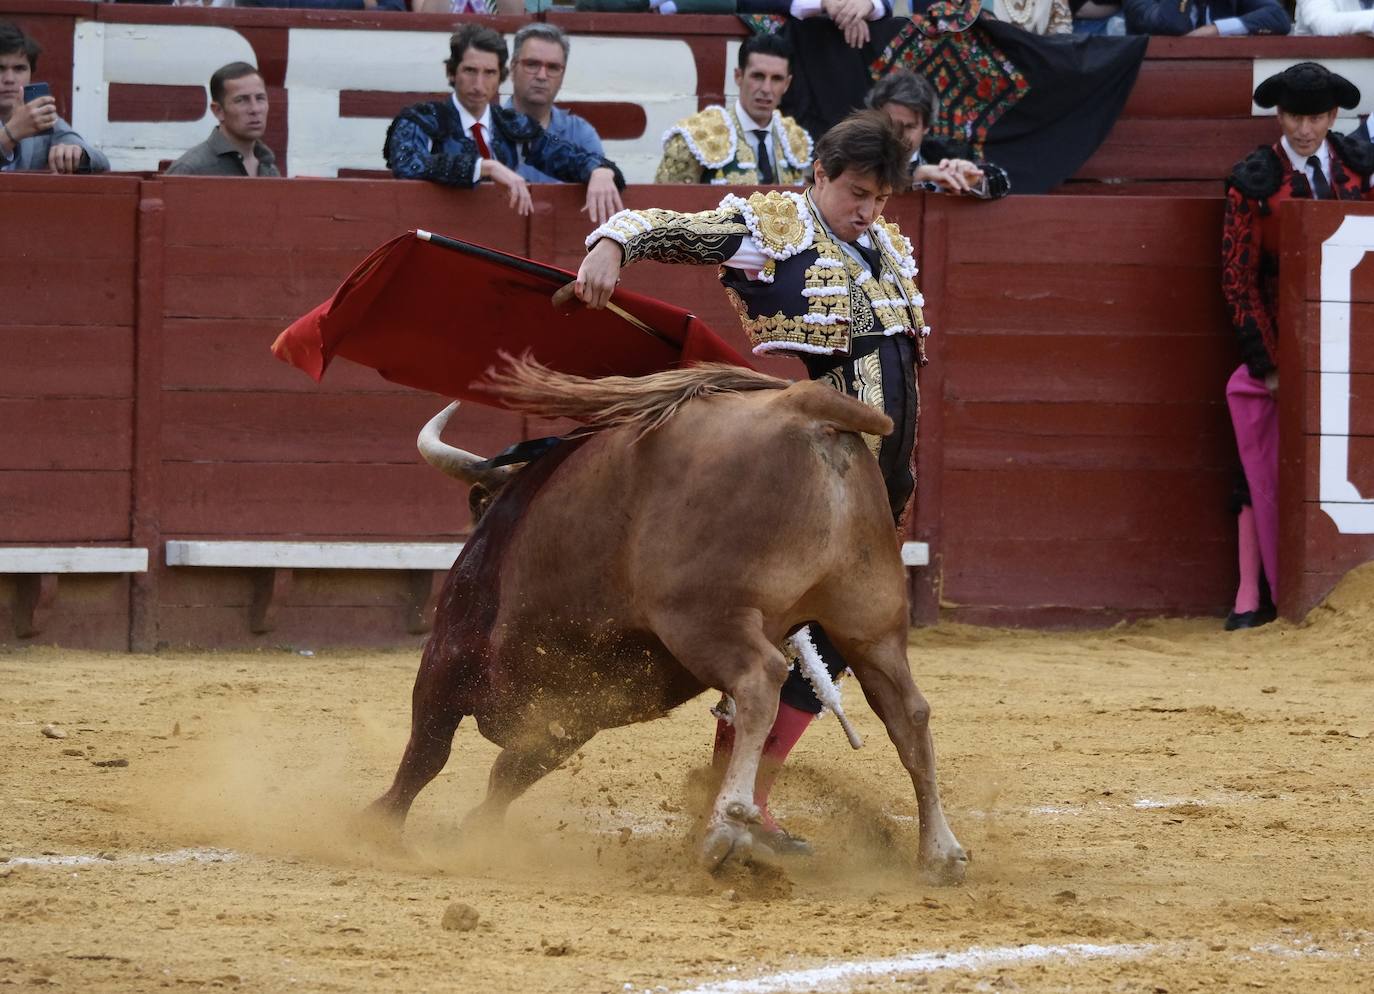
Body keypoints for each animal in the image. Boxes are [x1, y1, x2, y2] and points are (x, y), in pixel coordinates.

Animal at [365, 360, 967, 885]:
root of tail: (802, 404)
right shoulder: (575, 712)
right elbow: (507, 772)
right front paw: (475, 832)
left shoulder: (448, 657)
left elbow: (428, 751)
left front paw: (379, 824)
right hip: (869, 619)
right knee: (908, 713)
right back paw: (940, 854)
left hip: (703, 618)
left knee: (761, 681)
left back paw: (726, 828)